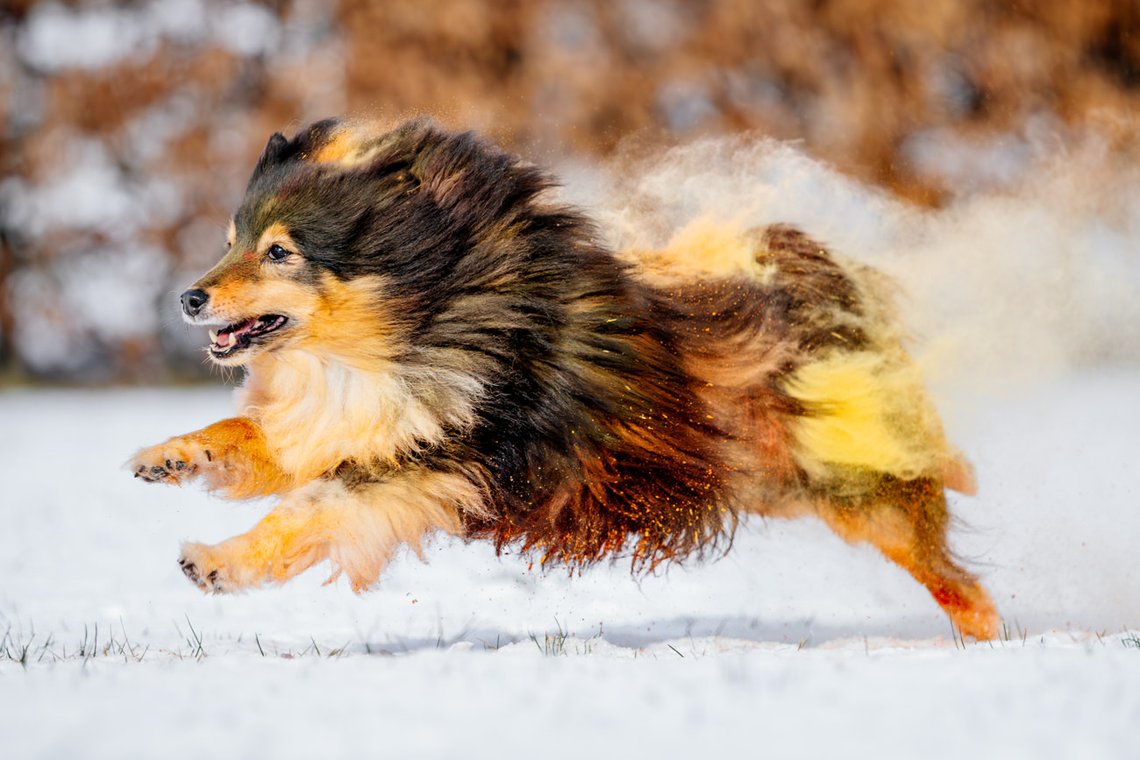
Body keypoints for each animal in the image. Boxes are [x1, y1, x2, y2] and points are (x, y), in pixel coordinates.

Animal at [131, 119, 998, 638]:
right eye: (230, 240)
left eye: (281, 251)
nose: (189, 297)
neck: (417, 327)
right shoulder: (355, 421)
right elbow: (248, 437)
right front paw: (169, 456)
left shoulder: (443, 458)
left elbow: (312, 509)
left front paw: (217, 562)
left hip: (856, 487)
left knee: (950, 571)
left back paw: (985, 637)